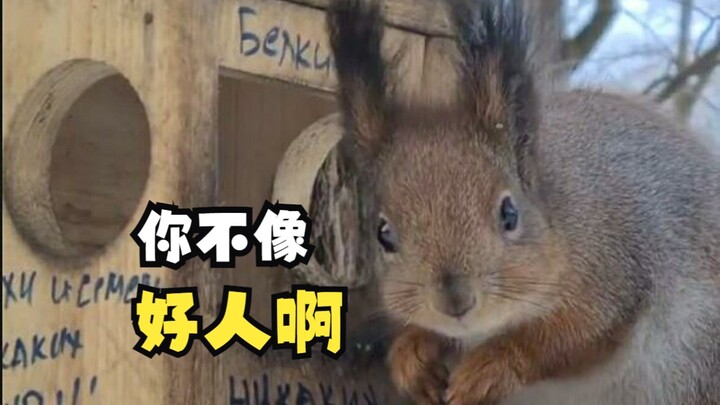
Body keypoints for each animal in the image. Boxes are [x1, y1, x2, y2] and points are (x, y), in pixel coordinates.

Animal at [325, 0, 720, 404]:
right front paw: (412, 355)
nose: (455, 302)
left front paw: (492, 366)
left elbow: (570, 337)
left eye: (510, 213)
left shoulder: (613, 271)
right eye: (383, 234)